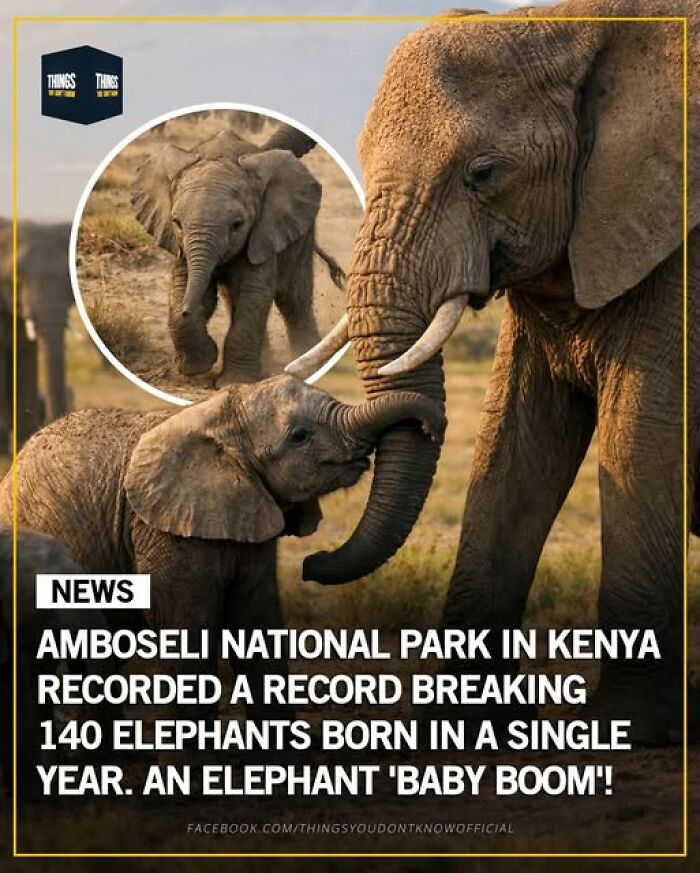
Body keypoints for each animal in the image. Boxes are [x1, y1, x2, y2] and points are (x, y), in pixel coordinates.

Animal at [0, 375, 443, 726]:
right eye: (299, 436)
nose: (431, 427)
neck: (218, 419)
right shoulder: (163, 528)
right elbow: (187, 623)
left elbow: (256, 618)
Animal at [131, 123, 339, 385]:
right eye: (176, 223)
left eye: (237, 225)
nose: (188, 309)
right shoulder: (180, 246)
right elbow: (184, 284)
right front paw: (197, 366)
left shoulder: (263, 233)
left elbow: (253, 292)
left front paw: (235, 382)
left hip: (301, 234)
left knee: (294, 300)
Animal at [288, 0, 699, 743]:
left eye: (482, 172)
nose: (308, 560)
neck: (577, 23)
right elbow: (514, 450)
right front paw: (465, 722)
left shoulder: (677, 245)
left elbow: (638, 438)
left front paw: (626, 728)